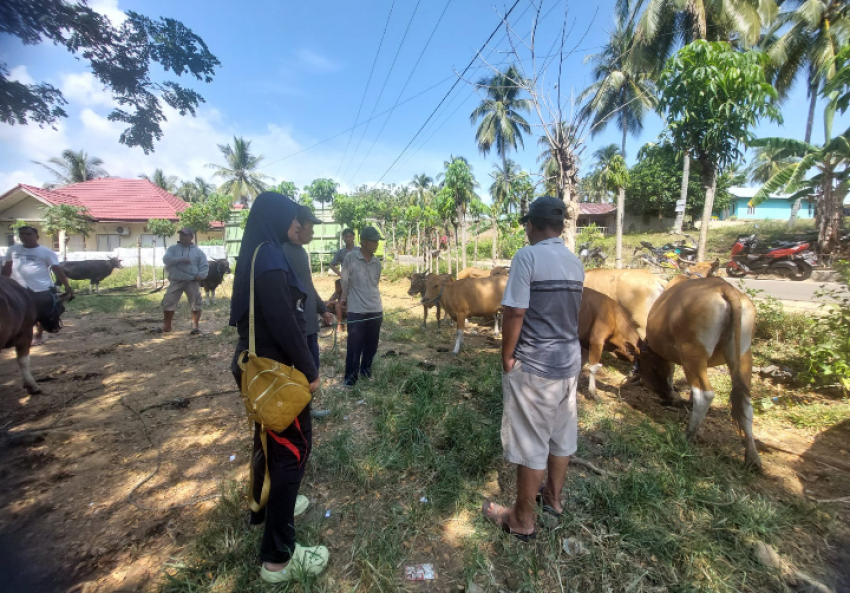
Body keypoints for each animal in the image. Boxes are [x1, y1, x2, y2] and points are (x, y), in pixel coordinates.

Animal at [632, 278, 760, 468]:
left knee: (705, 393)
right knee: (745, 403)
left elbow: (671, 371)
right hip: (744, 353)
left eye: (644, 366)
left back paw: (687, 435)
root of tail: (724, 288)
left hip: (692, 353)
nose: (664, 395)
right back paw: (752, 458)